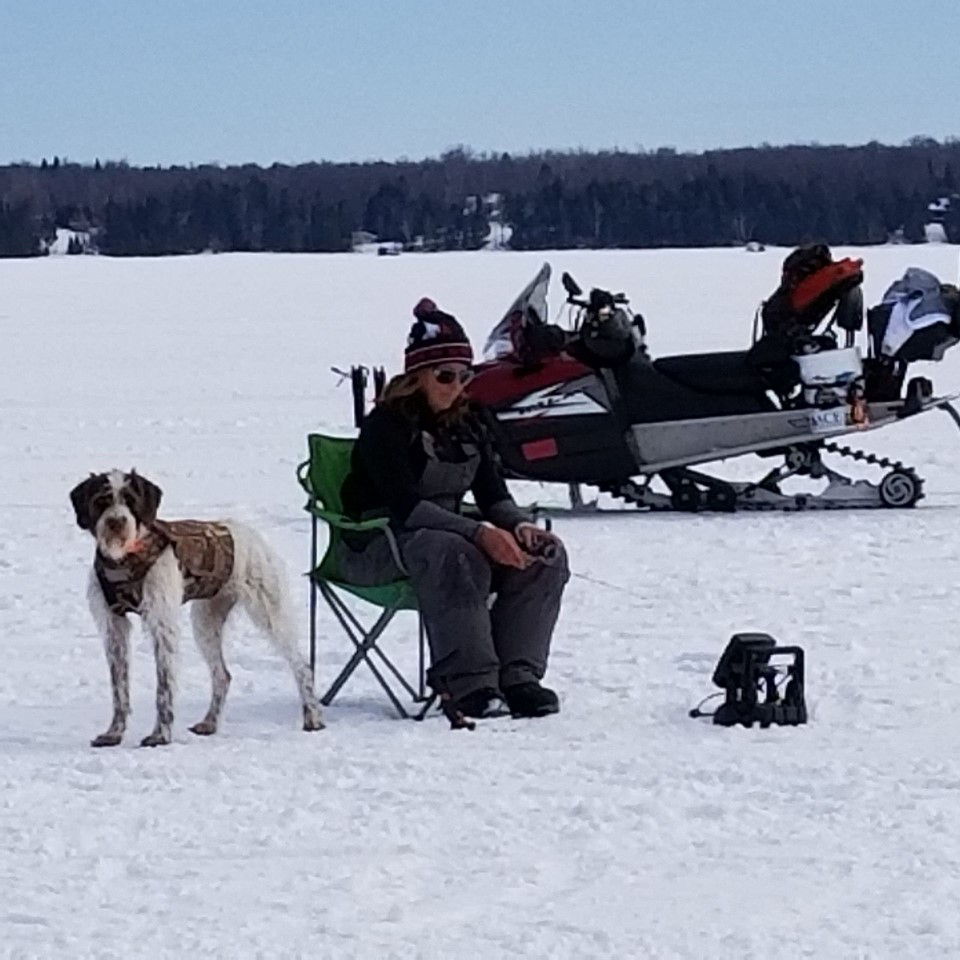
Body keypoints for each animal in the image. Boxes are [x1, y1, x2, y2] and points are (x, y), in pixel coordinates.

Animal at [69, 468, 326, 748]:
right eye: (102, 501)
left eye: (130, 500)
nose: (116, 521)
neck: (124, 560)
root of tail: (248, 532)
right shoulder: (113, 626)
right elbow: (119, 688)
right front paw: (114, 732)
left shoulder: (162, 624)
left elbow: (163, 689)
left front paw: (161, 735)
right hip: (206, 622)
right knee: (222, 675)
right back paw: (210, 722)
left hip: (270, 613)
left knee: (302, 666)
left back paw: (312, 717)